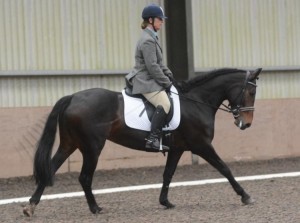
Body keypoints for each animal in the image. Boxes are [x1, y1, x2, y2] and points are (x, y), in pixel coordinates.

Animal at [23, 67, 262, 216]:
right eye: (251, 91)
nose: (247, 123)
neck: (196, 101)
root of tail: (72, 97)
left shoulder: (177, 148)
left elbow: (168, 174)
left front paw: (165, 202)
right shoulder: (201, 145)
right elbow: (225, 168)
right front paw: (246, 196)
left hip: (69, 144)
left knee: (50, 169)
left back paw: (30, 207)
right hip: (92, 147)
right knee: (84, 178)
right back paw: (96, 208)